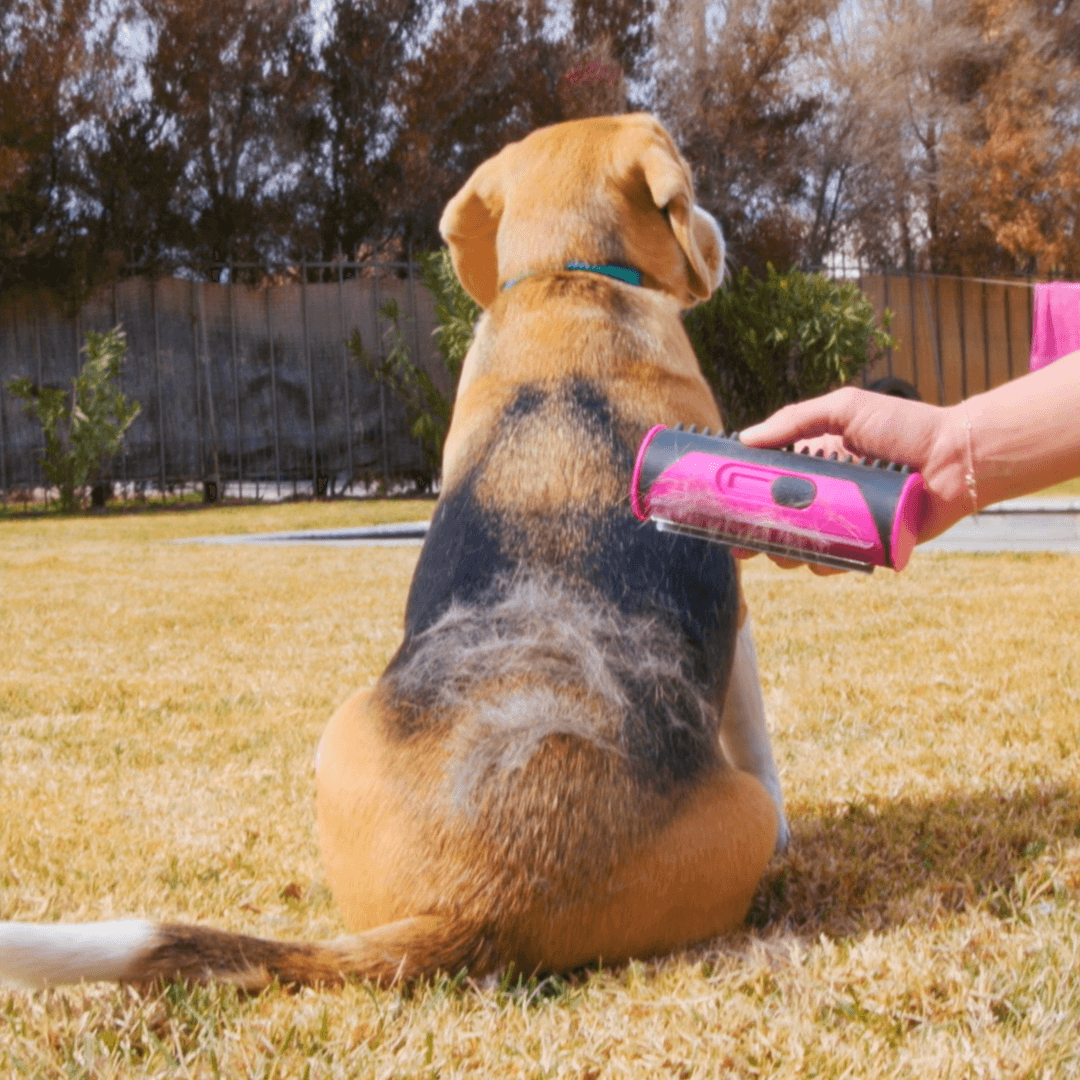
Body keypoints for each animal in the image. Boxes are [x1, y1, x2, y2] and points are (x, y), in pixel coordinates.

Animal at [0, 113, 786, 989]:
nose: (720, 234)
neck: (564, 282)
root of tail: (477, 900)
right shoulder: (738, 616)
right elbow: (755, 727)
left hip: (340, 729)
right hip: (743, 816)